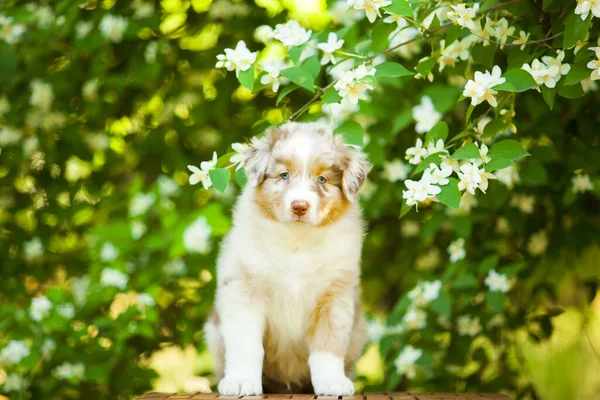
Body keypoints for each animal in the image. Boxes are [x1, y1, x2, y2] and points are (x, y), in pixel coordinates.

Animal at [206, 120, 372, 396]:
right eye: (284, 175)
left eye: (322, 179)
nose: (300, 206)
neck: (297, 241)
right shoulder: (244, 291)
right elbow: (245, 344)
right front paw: (241, 381)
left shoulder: (335, 296)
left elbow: (328, 344)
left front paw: (332, 381)